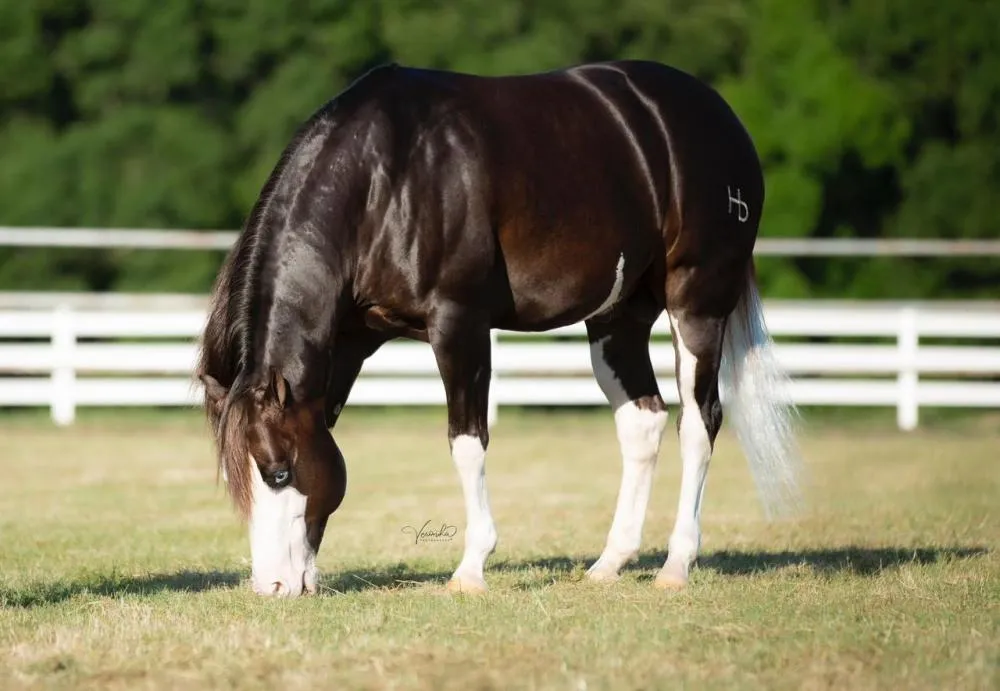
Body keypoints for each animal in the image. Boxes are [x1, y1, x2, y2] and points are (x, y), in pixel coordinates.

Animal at [196, 60, 802, 598]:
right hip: (617, 318)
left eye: (278, 472)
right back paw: (609, 564)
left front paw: (470, 570)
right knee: (643, 421)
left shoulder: (459, 323)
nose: (271, 587)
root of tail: (718, 115)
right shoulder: (347, 343)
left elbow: (467, 442)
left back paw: (676, 565)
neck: (386, 180)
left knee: (699, 423)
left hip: (696, 305)